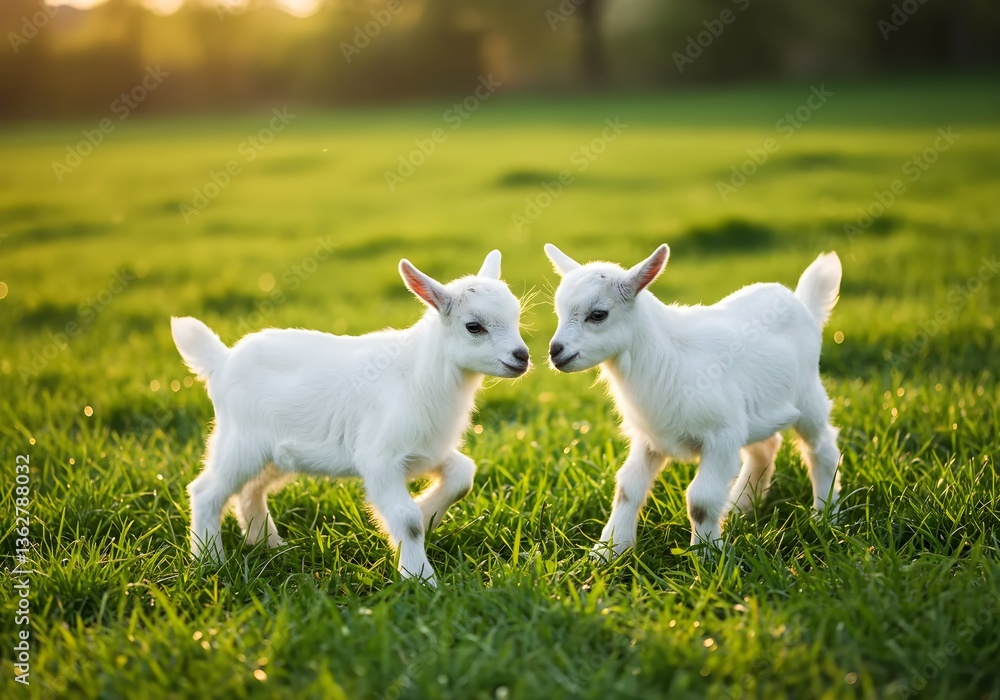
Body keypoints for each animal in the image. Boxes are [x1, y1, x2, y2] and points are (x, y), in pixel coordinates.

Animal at [171, 250, 529, 585]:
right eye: (474, 326)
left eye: (516, 318)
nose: (521, 357)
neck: (418, 372)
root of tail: (221, 361)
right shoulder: (379, 457)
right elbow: (407, 518)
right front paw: (420, 578)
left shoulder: (426, 449)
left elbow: (463, 475)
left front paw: (428, 513)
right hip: (240, 441)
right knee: (206, 491)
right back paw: (210, 561)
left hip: (275, 454)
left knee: (250, 492)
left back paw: (270, 546)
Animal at [544, 243, 842, 556]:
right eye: (558, 312)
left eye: (598, 314)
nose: (555, 351)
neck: (667, 356)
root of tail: (801, 303)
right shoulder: (650, 437)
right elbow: (628, 487)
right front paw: (609, 550)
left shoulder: (721, 436)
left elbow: (701, 499)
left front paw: (707, 555)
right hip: (756, 414)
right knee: (765, 449)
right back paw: (738, 509)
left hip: (807, 396)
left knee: (821, 448)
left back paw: (825, 517)